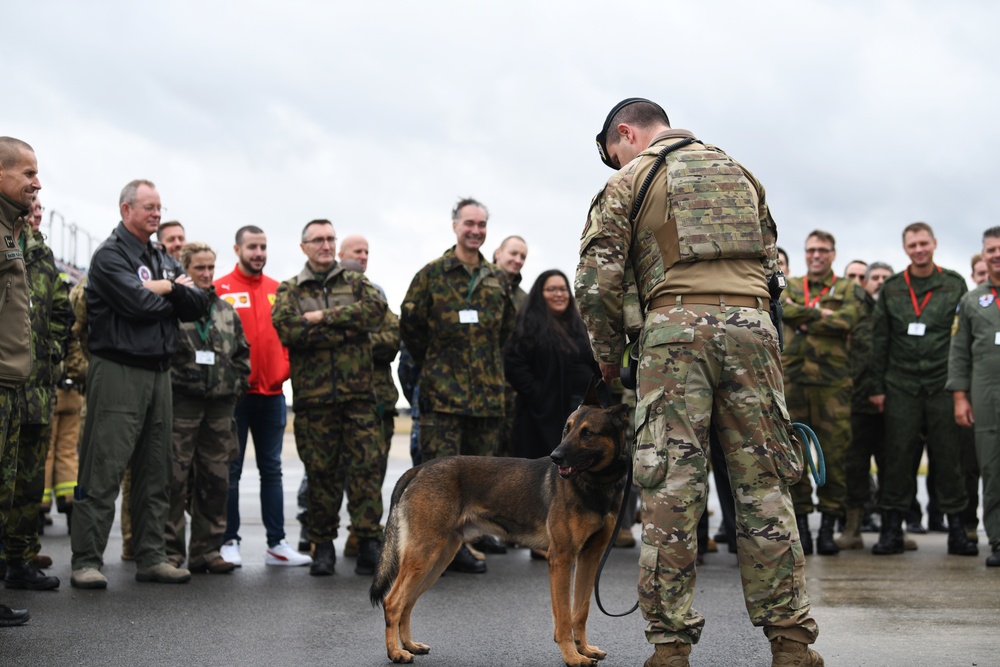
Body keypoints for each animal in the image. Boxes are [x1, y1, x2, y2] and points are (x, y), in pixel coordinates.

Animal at [372, 386, 628, 667]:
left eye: (588, 433)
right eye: (566, 429)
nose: (555, 457)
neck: (595, 486)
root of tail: (419, 468)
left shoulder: (589, 559)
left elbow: (580, 611)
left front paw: (584, 649)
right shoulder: (561, 559)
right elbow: (563, 617)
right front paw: (572, 656)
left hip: (436, 560)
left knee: (407, 603)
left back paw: (409, 645)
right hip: (424, 556)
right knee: (393, 602)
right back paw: (395, 652)